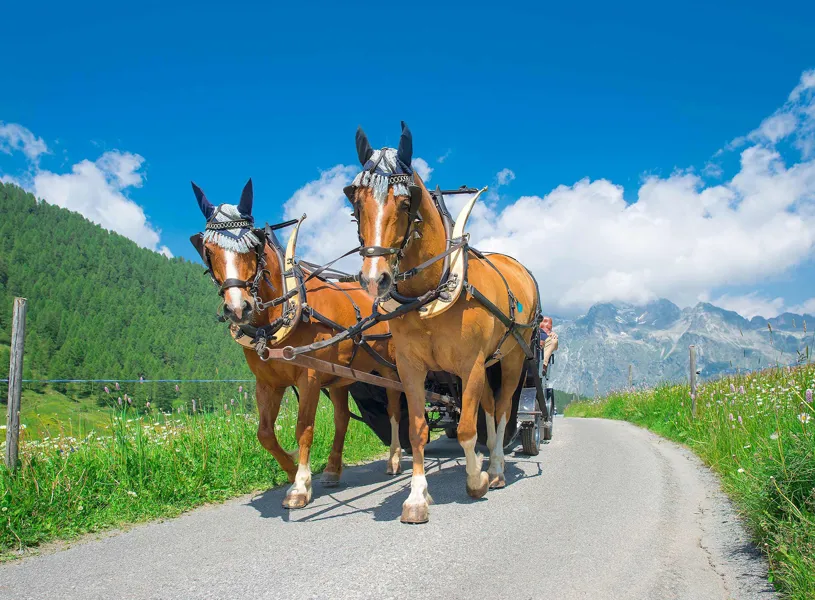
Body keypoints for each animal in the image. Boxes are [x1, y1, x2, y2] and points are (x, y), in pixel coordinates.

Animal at [189, 178, 403, 509]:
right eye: (209, 251)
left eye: (253, 247)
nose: (239, 308)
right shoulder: (268, 383)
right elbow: (264, 433)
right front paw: (291, 470)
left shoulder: (309, 376)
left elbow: (304, 427)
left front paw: (301, 484)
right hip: (340, 378)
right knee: (342, 419)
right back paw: (332, 469)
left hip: (389, 369)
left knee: (394, 409)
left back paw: (394, 458)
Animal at [344, 123, 540, 523]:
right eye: (355, 203)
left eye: (407, 202)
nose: (374, 279)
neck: (432, 293)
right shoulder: (411, 368)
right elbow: (418, 430)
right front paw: (417, 497)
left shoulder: (471, 364)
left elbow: (465, 429)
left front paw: (477, 479)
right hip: (487, 366)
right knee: (489, 406)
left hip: (512, 358)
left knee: (503, 408)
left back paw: (497, 468)